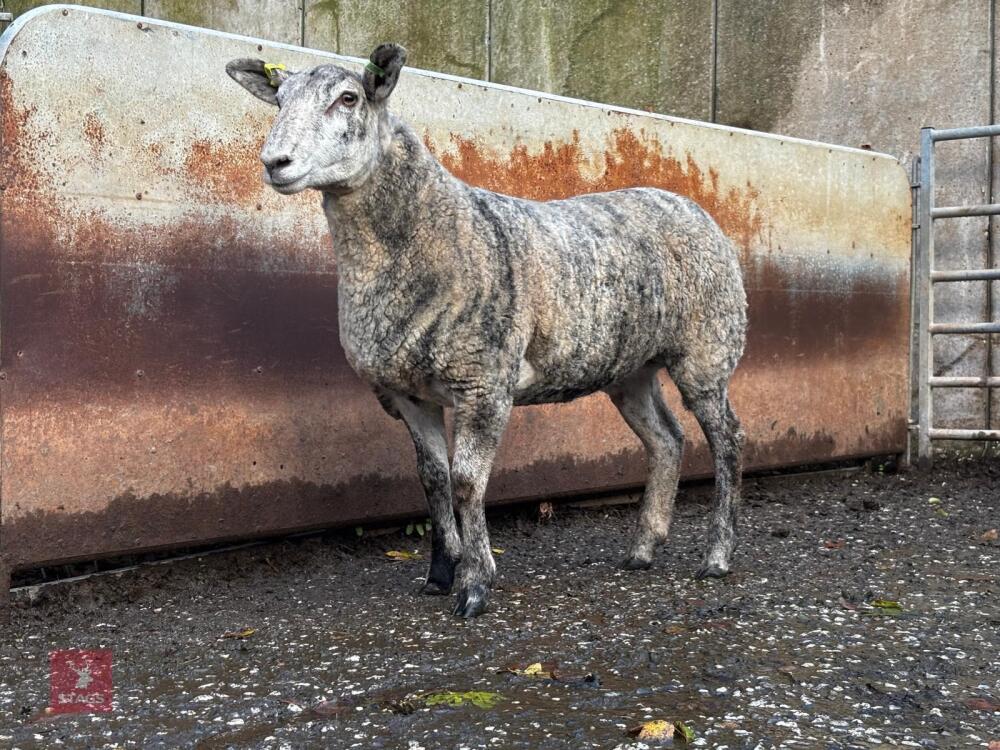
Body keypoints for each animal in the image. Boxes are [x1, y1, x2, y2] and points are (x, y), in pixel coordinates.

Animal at [226, 44, 747, 618]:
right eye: (279, 99)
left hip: (708, 348)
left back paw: (717, 556)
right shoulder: (406, 393)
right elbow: (432, 479)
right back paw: (642, 549)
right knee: (667, 439)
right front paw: (439, 574)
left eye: (348, 98)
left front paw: (476, 584)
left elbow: (466, 480)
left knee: (726, 439)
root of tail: (696, 209)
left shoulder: (484, 383)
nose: (275, 163)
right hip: (628, 368)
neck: (434, 233)